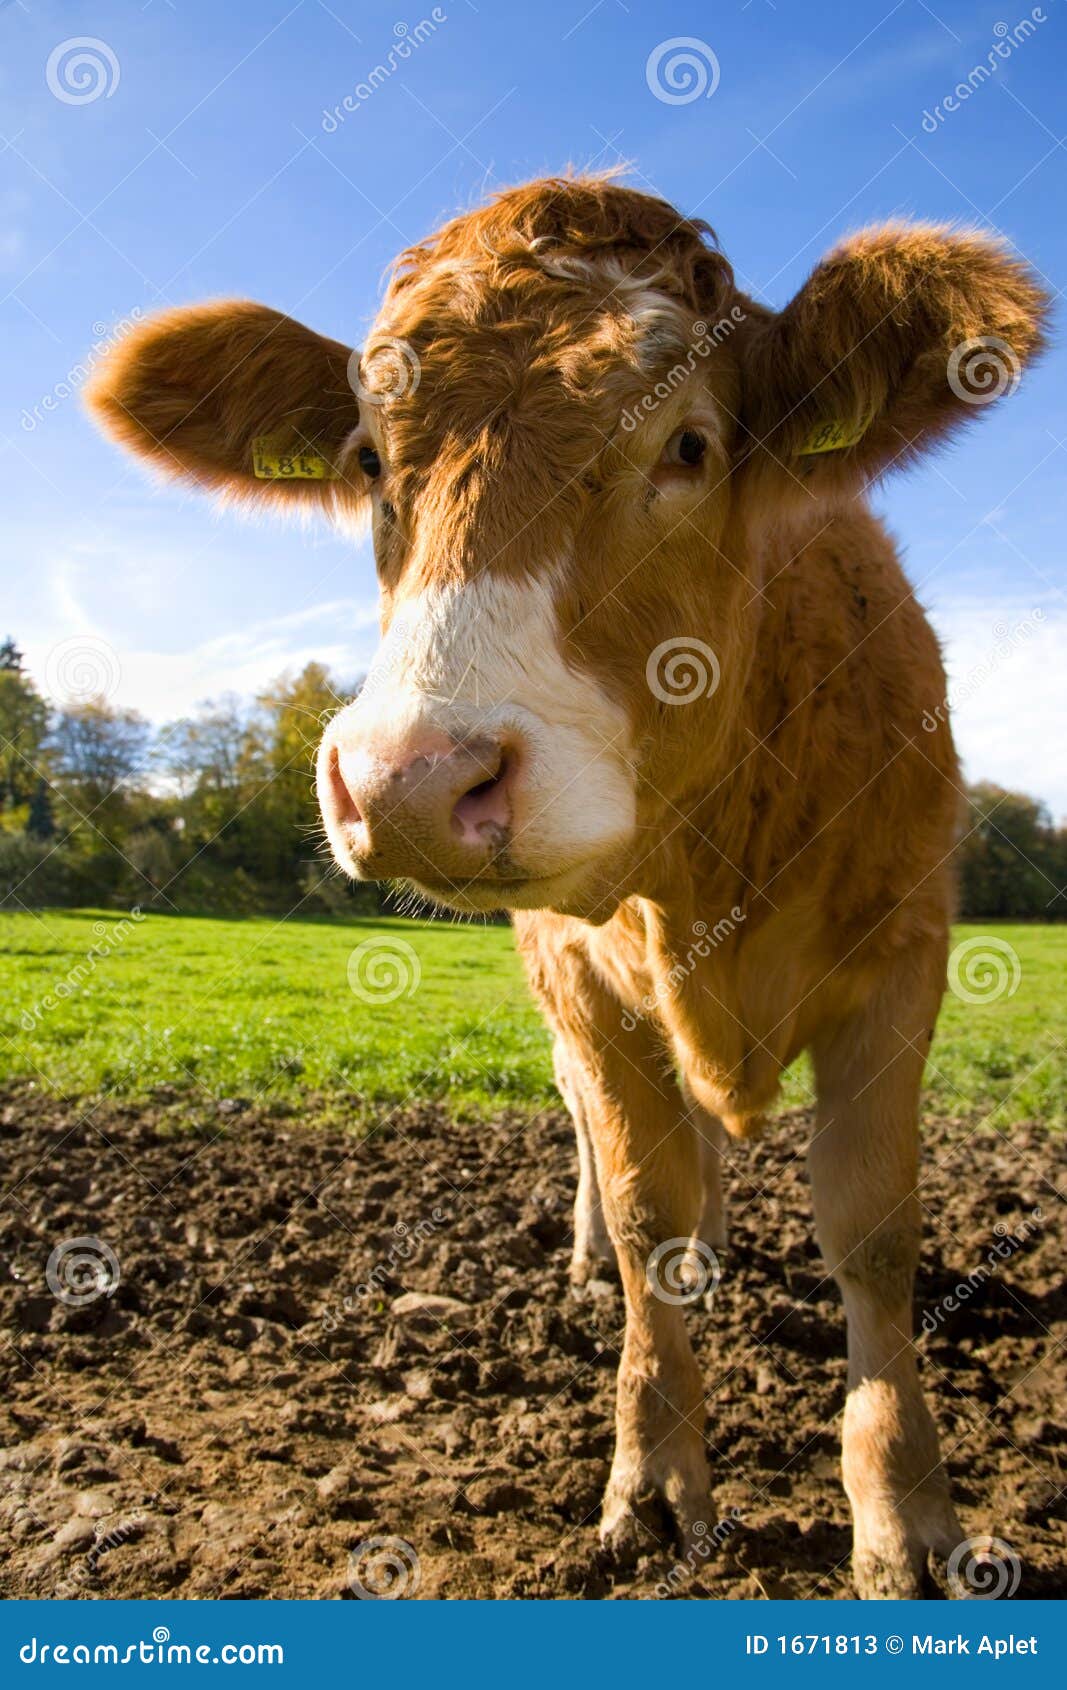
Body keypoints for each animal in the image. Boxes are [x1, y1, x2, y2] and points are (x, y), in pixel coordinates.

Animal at [87, 175, 1048, 1597]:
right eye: (367, 460)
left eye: (689, 446)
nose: (411, 778)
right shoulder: (578, 971)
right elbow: (648, 1207)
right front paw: (653, 1479)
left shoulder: (905, 950)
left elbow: (873, 1228)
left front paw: (906, 1516)